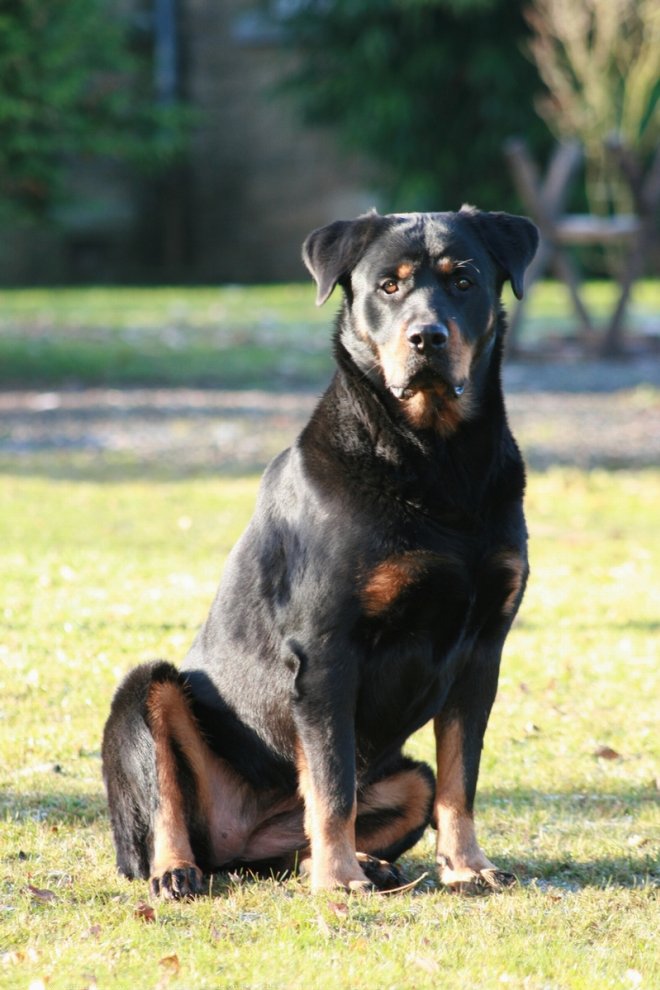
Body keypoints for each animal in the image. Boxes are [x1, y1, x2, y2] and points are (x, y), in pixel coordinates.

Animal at [102, 207, 536, 900]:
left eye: (463, 280)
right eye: (389, 286)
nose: (427, 337)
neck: (436, 462)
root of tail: (234, 844)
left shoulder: (483, 650)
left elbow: (458, 780)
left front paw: (467, 866)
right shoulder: (328, 650)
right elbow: (332, 782)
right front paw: (338, 881)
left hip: (399, 776)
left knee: (336, 822)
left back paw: (363, 864)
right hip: (145, 694)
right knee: (163, 796)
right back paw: (177, 870)